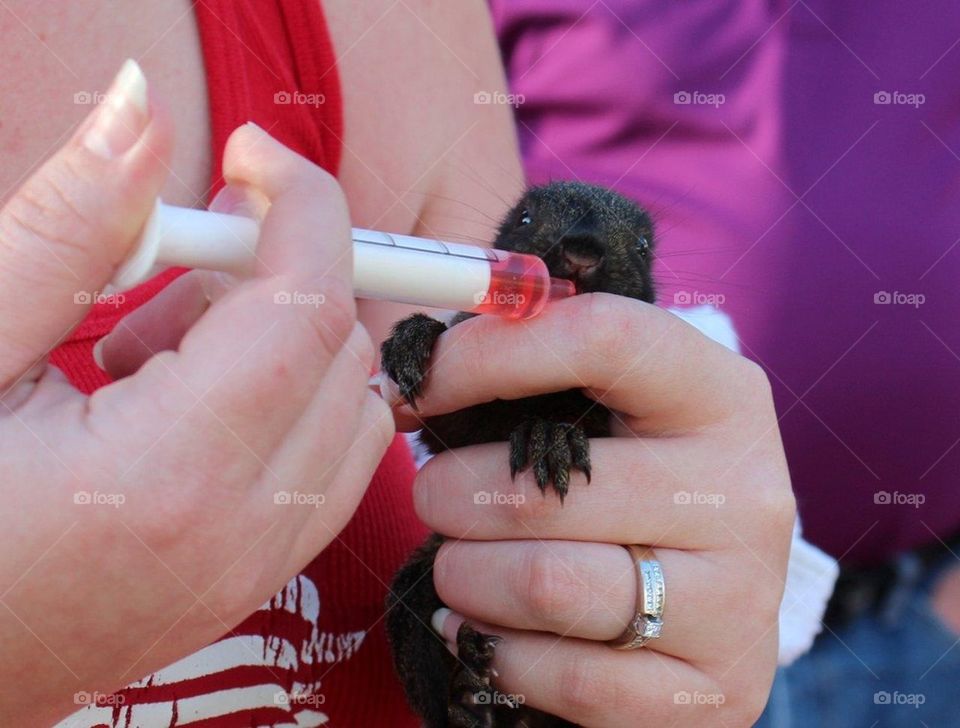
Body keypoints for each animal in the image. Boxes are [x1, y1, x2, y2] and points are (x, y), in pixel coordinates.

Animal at [382, 181, 656, 728]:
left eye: (642, 248)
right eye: (524, 219)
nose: (582, 250)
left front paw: (552, 433)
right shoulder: (454, 427)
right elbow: (445, 422)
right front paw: (416, 335)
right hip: (416, 592)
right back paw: (469, 697)